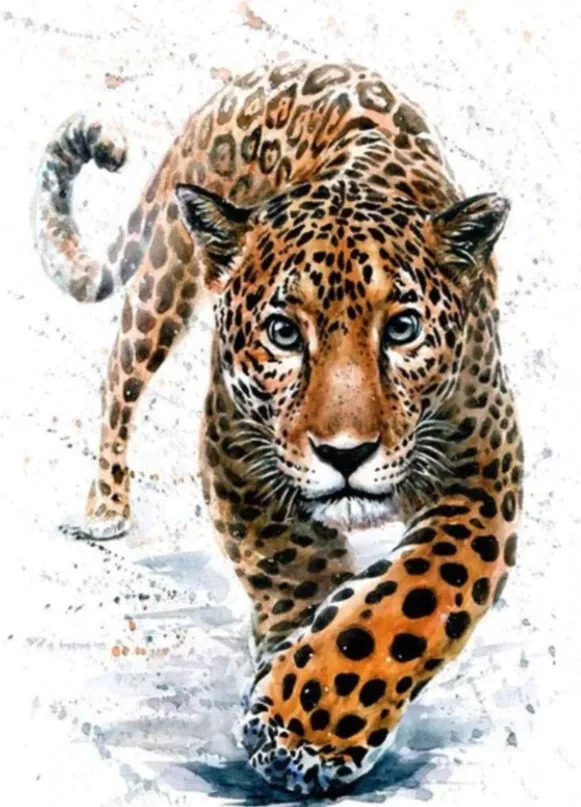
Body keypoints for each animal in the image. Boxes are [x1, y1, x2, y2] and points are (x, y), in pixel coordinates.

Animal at [33, 60, 523, 796]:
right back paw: (105, 506)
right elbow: (294, 567)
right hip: (164, 279)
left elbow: (413, 596)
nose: (345, 453)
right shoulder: (237, 454)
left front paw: (309, 721)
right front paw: (298, 707)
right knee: (118, 375)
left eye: (402, 328)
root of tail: (260, 73)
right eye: (284, 333)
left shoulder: (484, 474)